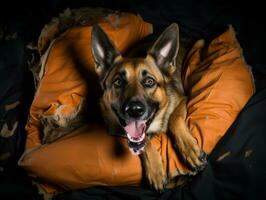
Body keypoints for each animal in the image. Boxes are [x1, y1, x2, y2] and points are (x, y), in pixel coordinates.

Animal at [91, 23, 206, 191]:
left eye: (149, 82)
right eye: (118, 82)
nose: (135, 110)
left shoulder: (182, 100)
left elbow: (174, 118)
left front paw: (189, 150)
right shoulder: (117, 129)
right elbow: (143, 140)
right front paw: (155, 170)